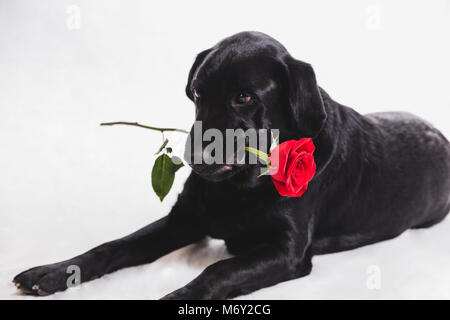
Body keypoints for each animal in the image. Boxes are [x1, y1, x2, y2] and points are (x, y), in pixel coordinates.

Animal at [13, 31, 450, 298]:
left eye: (244, 96)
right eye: (196, 93)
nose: (195, 156)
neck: (240, 188)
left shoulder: (287, 251)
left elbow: (218, 271)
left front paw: (180, 295)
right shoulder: (183, 220)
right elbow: (112, 246)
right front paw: (53, 272)